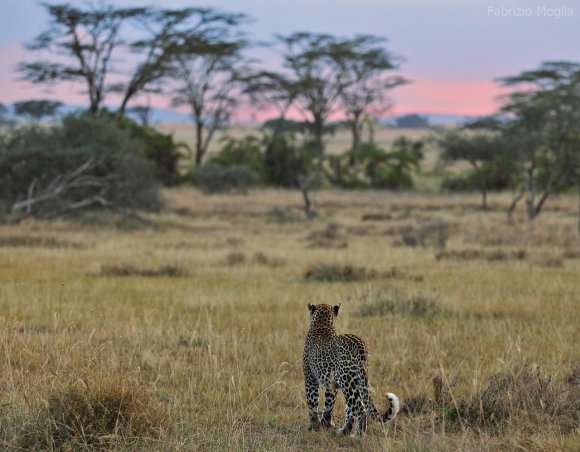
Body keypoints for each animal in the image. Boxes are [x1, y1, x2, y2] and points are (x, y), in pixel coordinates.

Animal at [304, 304, 398, 434]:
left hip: (347, 380)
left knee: (359, 408)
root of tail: (360, 345)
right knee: (352, 408)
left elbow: (312, 402)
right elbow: (329, 404)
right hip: (356, 380)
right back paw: (344, 430)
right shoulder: (332, 385)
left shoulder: (310, 378)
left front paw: (313, 425)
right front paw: (326, 423)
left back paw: (358, 434)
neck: (322, 324)